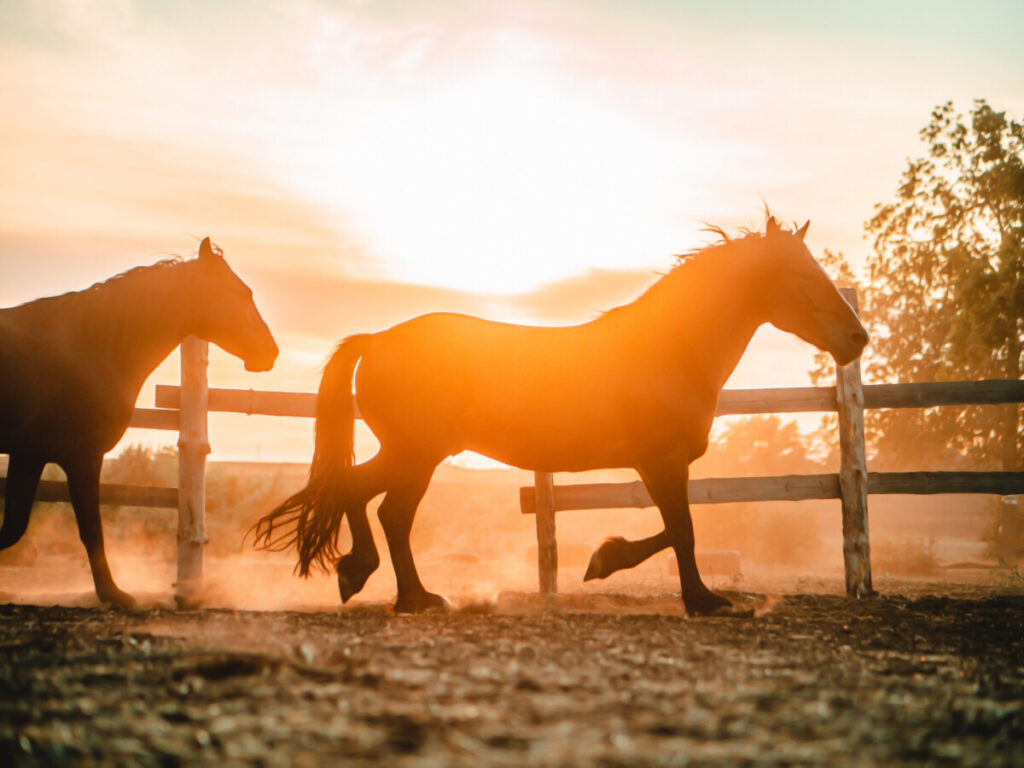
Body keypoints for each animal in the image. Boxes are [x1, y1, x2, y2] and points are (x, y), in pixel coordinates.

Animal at [0, 240, 278, 606]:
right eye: (241, 292)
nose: (271, 351)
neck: (90, 348)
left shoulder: (28, 455)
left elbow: (13, 527)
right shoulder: (81, 456)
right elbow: (90, 529)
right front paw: (112, 594)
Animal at [251, 219, 868, 618]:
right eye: (803, 275)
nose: (857, 338)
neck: (670, 350)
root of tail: (376, 339)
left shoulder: (662, 465)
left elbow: (675, 528)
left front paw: (606, 561)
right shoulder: (660, 461)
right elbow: (684, 530)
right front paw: (703, 602)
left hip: (414, 454)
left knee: (371, 502)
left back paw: (392, 588)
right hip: (417, 453)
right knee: (378, 505)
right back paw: (397, 590)